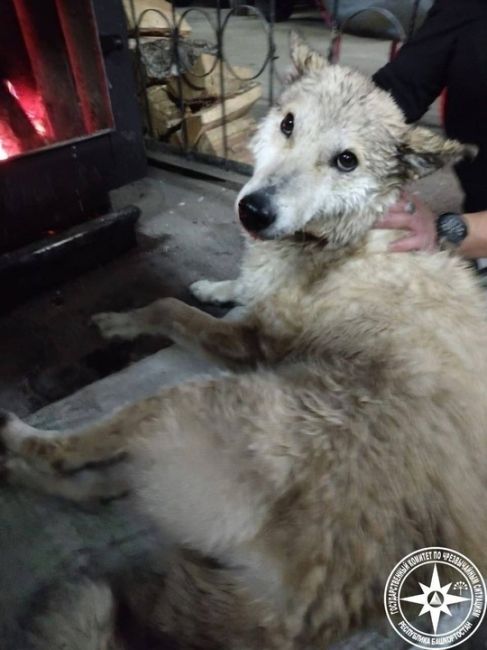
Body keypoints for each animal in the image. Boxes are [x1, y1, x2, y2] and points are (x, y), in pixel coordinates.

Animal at [0, 35, 487, 648]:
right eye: (288, 123)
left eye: (346, 160)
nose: (253, 211)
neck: (344, 236)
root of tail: (300, 608)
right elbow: (229, 287)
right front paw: (216, 284)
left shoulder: (252, 343)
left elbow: (169, 309)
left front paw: (126, 320)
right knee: (104, 489)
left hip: (183, 404)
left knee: (74, 452)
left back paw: (16, 444)